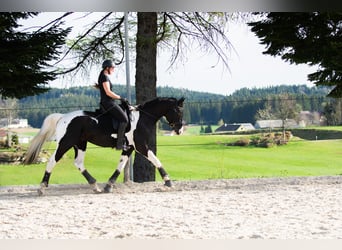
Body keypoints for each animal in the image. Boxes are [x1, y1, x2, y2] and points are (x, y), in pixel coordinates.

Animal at [23, 96, 184, 195]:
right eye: (178, 111)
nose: (180, 130)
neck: (142, 118)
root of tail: (63, 117)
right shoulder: (140, 146)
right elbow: (155, 159)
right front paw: (168, 181)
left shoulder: (130, 147)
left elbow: (121, 165)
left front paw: (109, 185)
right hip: (66, 142)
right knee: (53, 161)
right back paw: (42, 188)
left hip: (80, 144)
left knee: (79, 163)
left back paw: (95, 185)